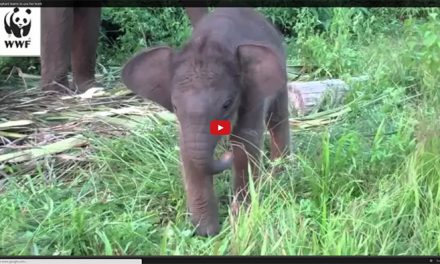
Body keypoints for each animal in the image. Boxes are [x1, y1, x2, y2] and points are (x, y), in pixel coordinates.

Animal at [122, 8, 290, 236]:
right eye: (175, 107)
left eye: (227, 104)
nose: (226, 155)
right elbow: (187, 151)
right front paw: (207, 232)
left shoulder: (252, 95)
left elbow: (245, 142)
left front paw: (240, 219)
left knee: (277, 118)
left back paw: (279, 176)